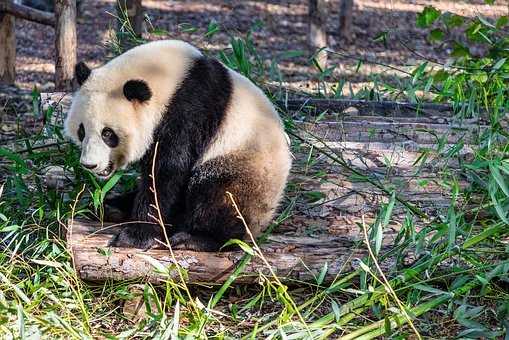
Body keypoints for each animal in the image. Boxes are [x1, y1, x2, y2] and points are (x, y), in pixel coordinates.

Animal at [65, 40, 292, 252]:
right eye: (82, 131)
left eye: (108, 134)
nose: (90, 165)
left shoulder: (189, 110)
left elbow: (168, 171)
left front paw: (135, 236)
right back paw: (112, 207)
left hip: (244, 163)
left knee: (219, 197)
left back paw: (196, 238)